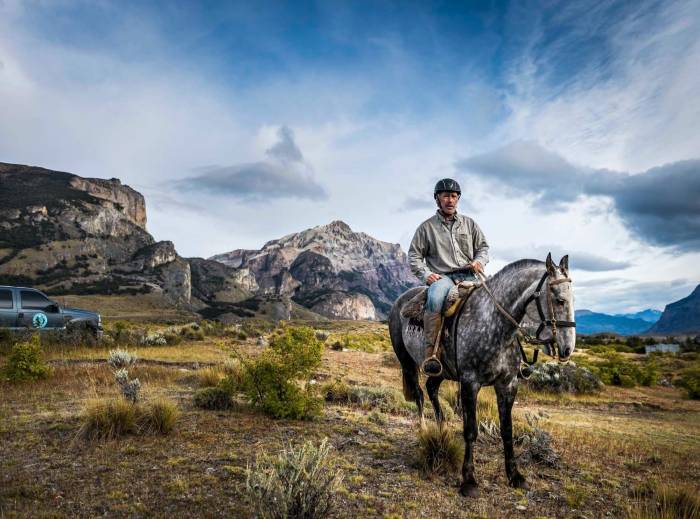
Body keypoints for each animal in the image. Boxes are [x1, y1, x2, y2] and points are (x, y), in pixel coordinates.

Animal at [388, 254, 576, 497]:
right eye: (559, 300)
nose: (568, 349)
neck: (495, 325)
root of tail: (401, 301)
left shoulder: (508, 384)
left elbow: (507, 430)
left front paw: (515, 476)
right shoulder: (470, 383)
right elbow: (470, 430)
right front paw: (469, 480)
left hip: (443, 370)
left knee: (431, 388)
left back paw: (441, 427)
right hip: (407, 362)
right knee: (419, 394)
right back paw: (424, 429)